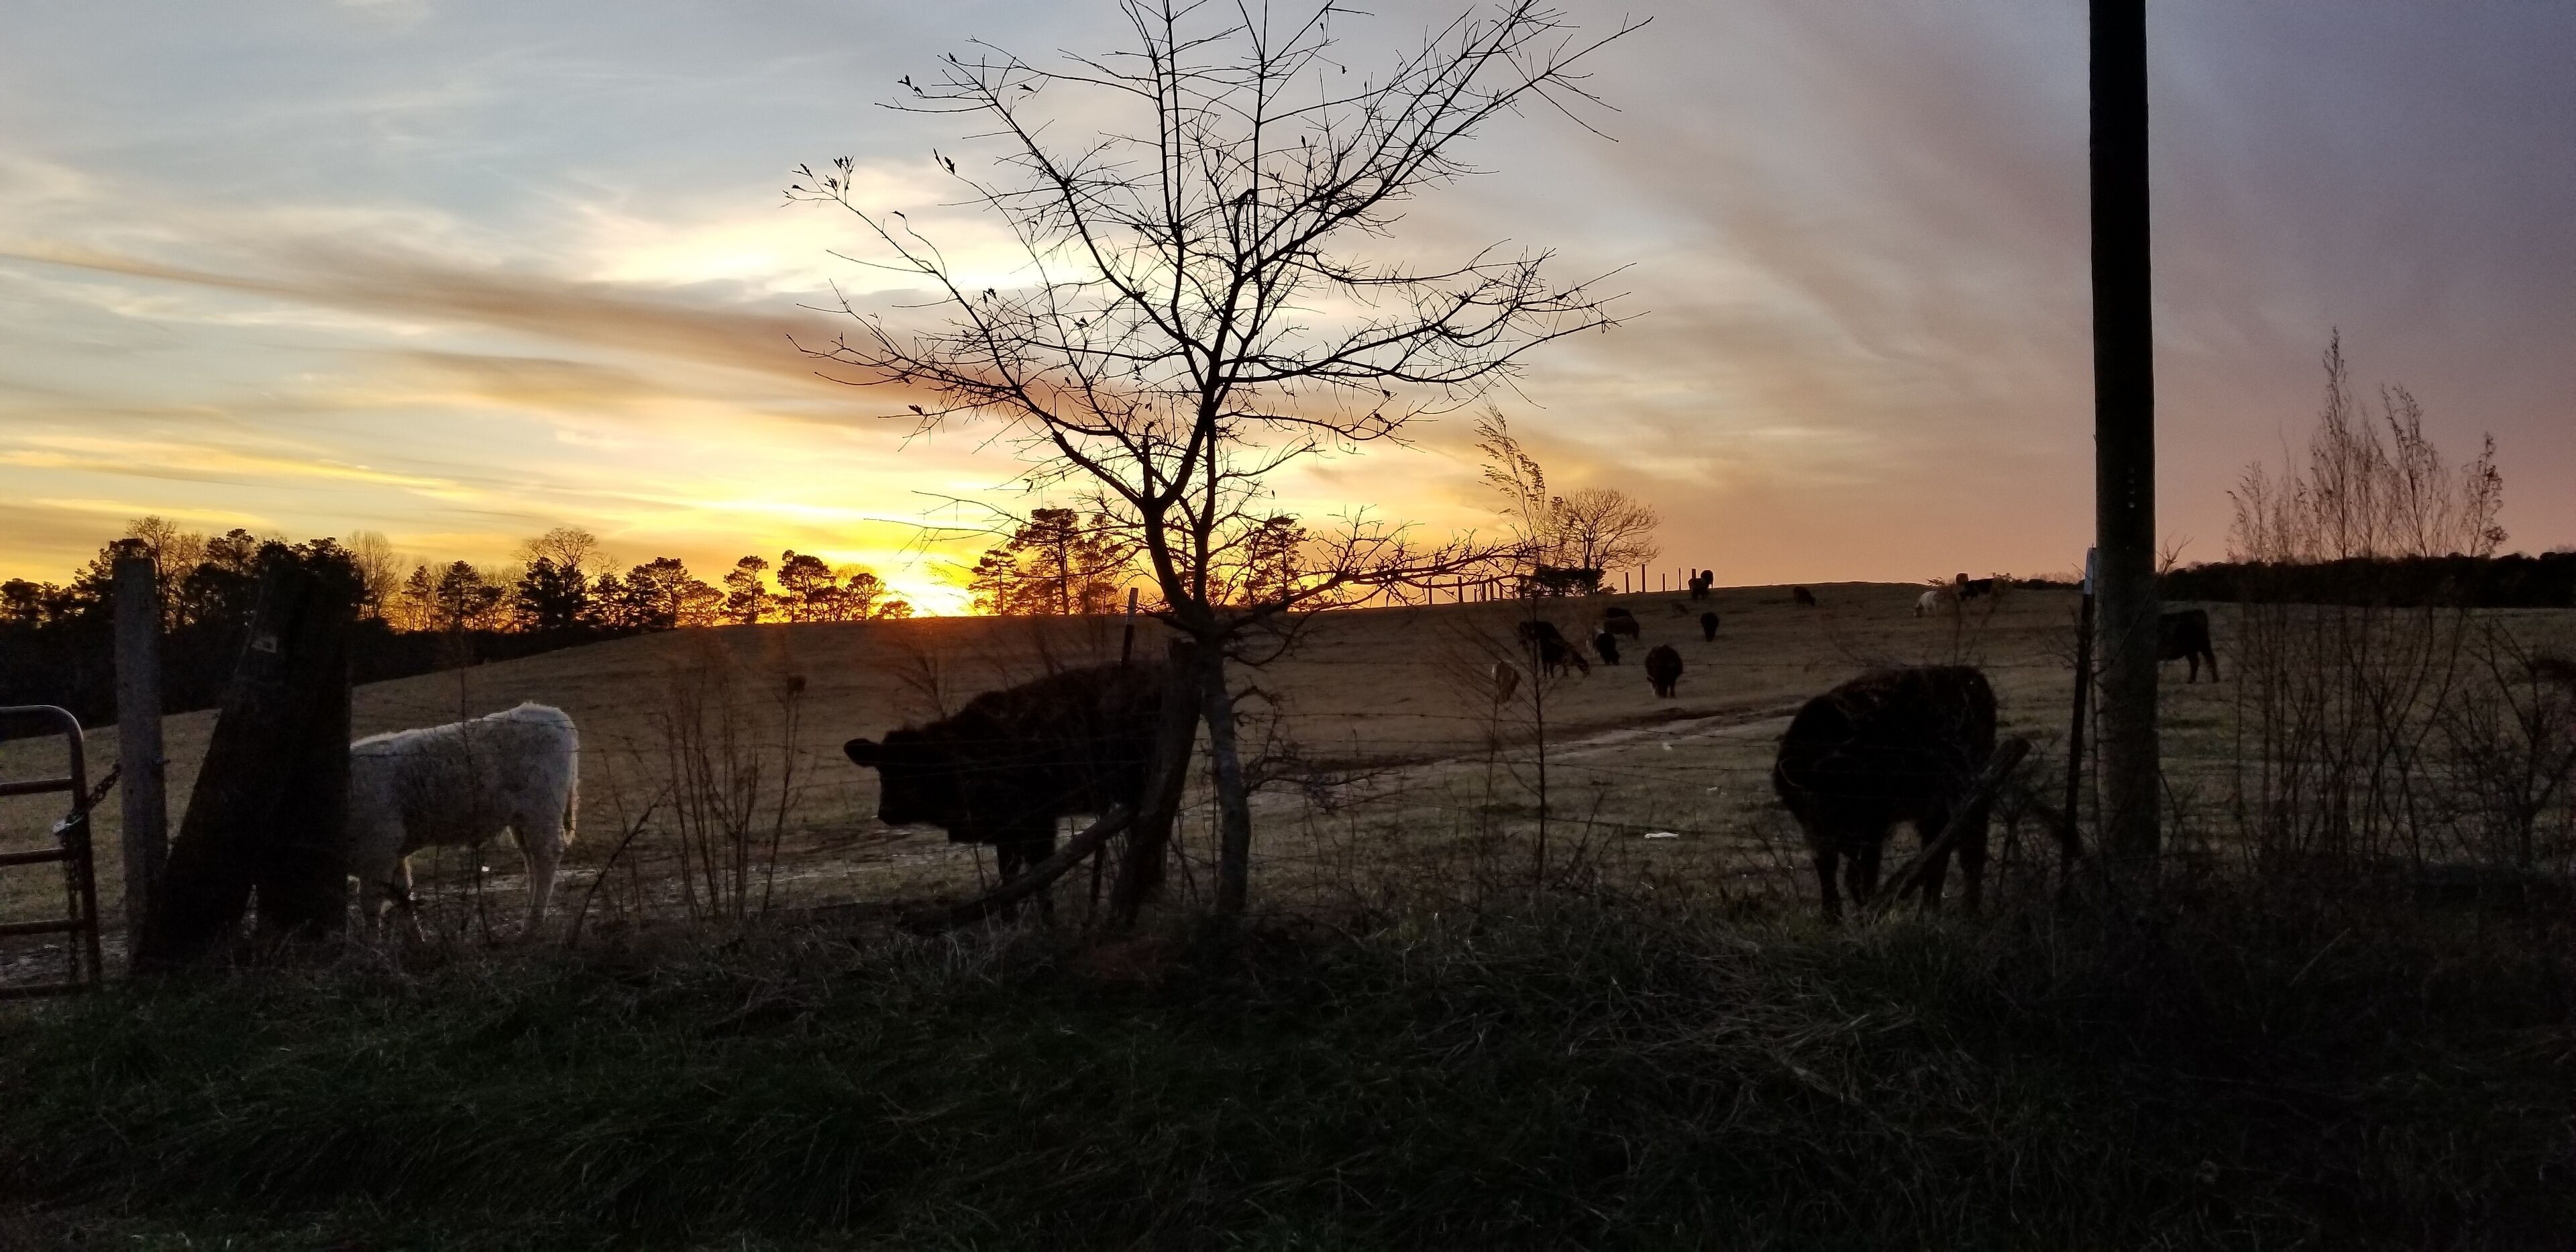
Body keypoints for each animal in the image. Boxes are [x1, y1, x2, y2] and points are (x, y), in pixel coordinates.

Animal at [348, 702, 580, 936]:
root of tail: (548, 712)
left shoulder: (379, 852)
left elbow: (371, 904)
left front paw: (372, 943)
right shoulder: (394, 854)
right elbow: (402, 897)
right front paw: (416, 941)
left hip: (542, 809)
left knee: (546, 856)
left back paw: (532, 926)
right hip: (522, 820)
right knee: (531, 859)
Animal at [843, 664, 1164, 889]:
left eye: (916, 768)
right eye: (882, 770)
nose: (886, 811)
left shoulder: (1037, 819)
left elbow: (1038, 880)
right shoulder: (1004, 831)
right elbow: (1008, 883)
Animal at [1772, 666, 1998, 921]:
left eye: (1861, 791)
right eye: (1823, 800)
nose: (1849, 834)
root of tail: (1971, 676)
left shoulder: (1873, 827)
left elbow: (1863, 875)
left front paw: (1867, 913)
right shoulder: (1817, 832)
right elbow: (1829, 868)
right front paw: (1832, 917)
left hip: (1971, 791)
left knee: (1971, 847)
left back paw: (1970, 909)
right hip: (1934, 808)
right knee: (1937, 849)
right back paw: (1927, 911)